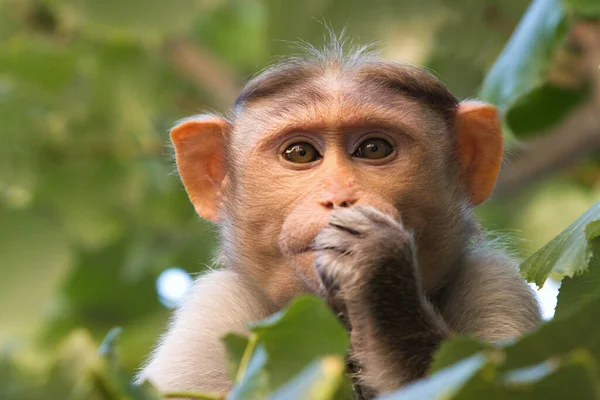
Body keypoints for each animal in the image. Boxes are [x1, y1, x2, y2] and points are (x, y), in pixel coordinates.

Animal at [136, 40, 540, 396]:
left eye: (374, 148)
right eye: (300, 153)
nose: (339, 197)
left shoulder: (496, 284)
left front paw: (378, 275)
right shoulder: (212, 314)